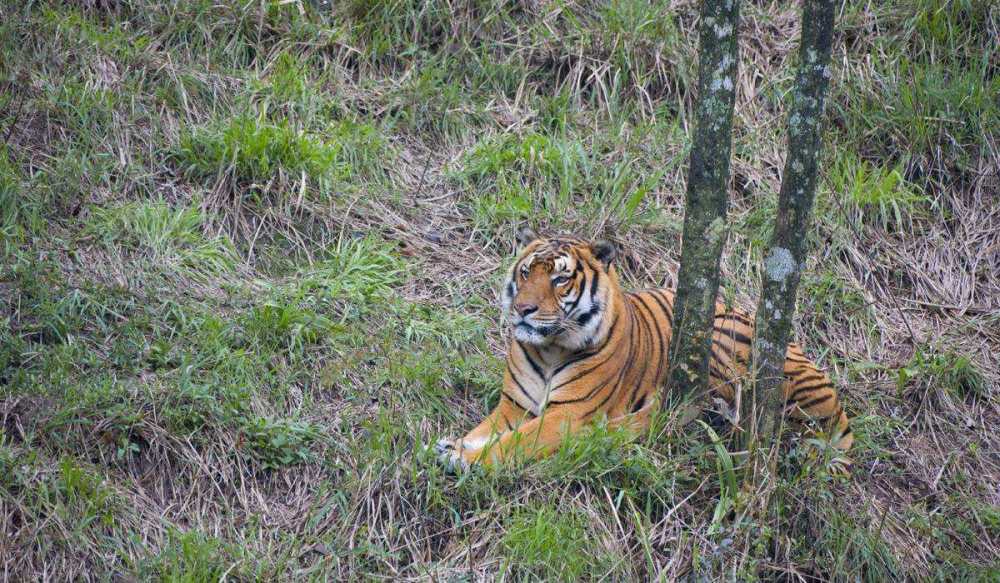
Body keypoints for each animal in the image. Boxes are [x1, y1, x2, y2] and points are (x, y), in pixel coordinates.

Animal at [438, 228, 852, 470]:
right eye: (526, 273)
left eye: (559, 279)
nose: (523, 309)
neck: (549, 348)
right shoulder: (515, 405)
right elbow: (486, 429)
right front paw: (453, 444)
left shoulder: (566, 414)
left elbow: (515, 442)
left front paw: (465, 457)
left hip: (719, 341)